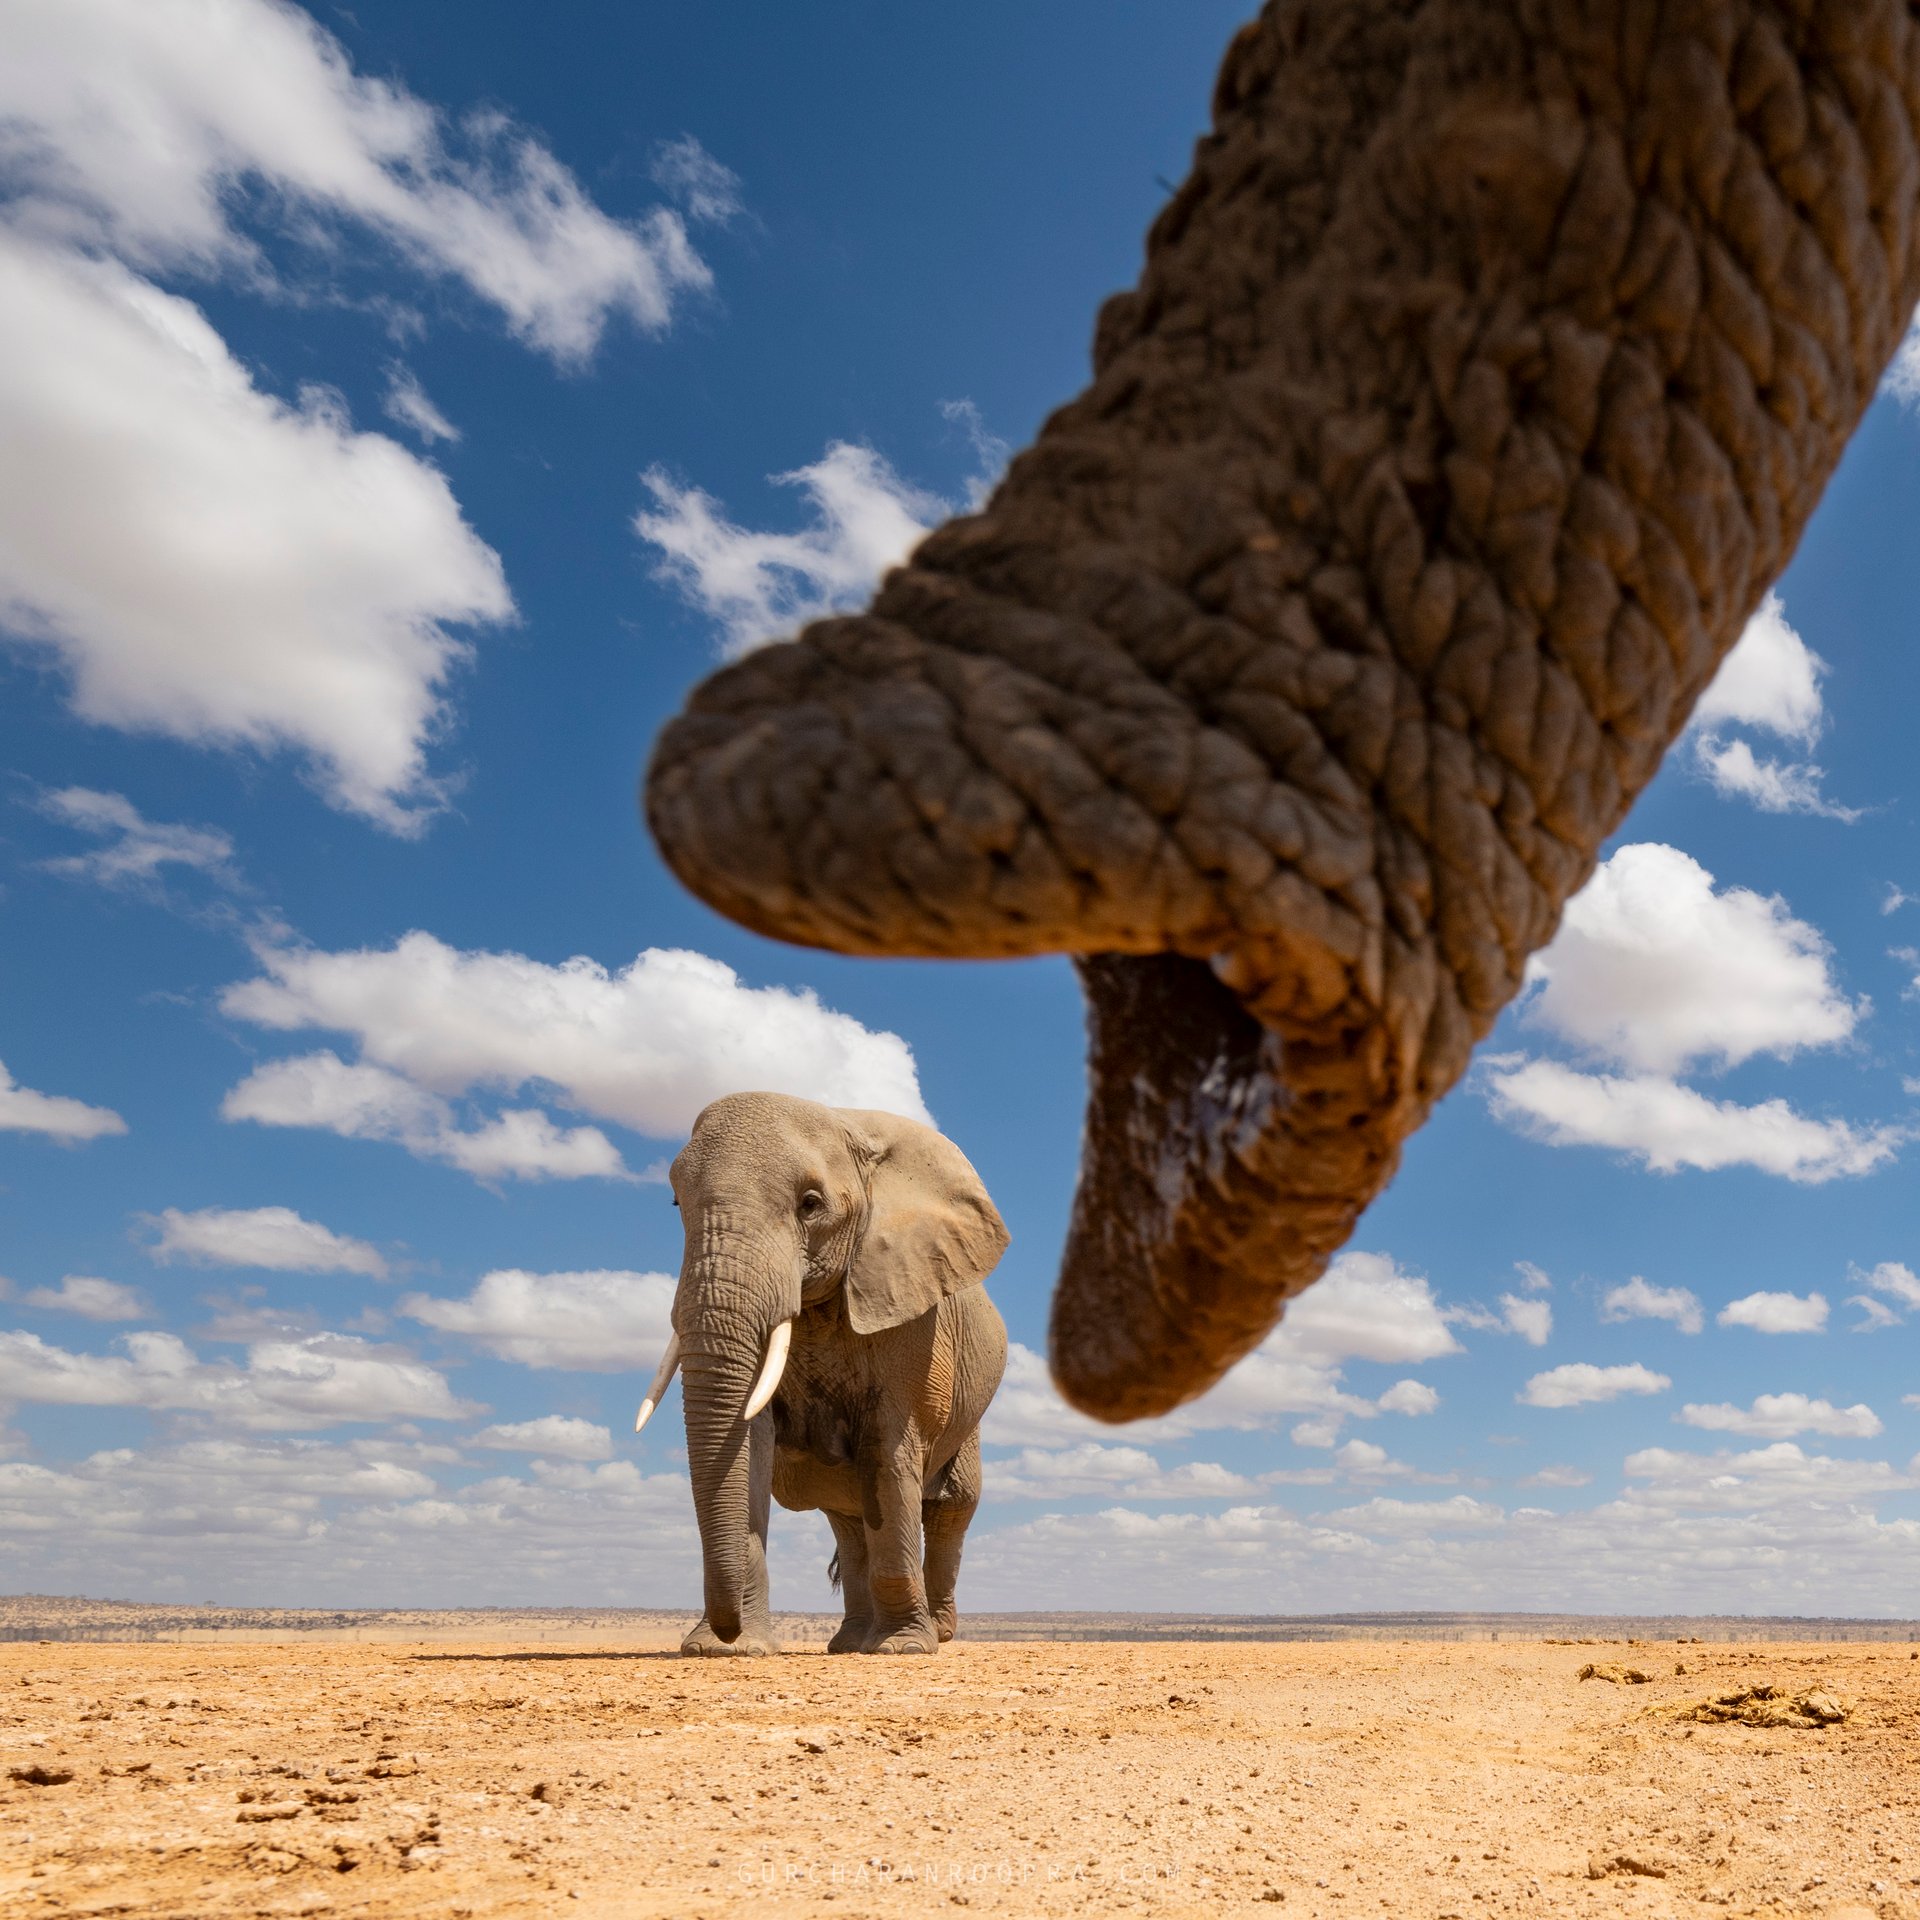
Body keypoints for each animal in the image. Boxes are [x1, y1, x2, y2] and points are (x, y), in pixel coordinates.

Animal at [637, 1098, 1013, 1651]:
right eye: (676, 1203)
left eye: (810, 1205)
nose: (726, 1630)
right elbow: (750, 1441)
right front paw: (723, 1650)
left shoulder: (913, 1319)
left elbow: (889, 1454)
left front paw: (903, 1648)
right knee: (848, 1520)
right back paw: (849, 1644)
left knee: (952, 1505)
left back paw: (936, 1634)